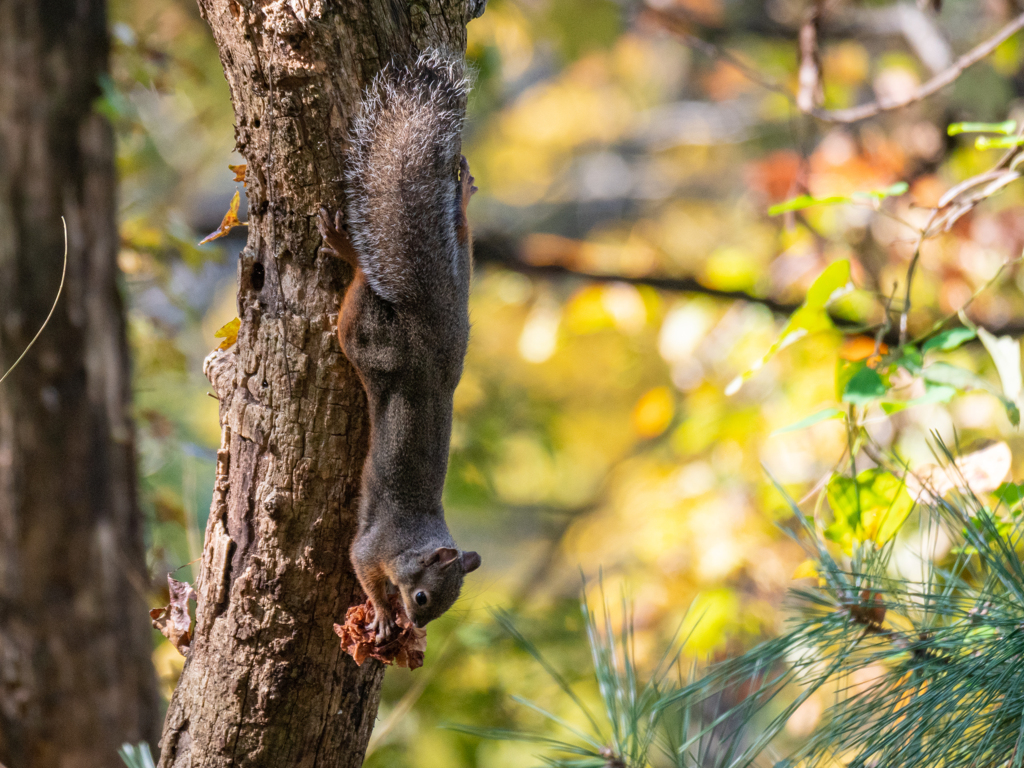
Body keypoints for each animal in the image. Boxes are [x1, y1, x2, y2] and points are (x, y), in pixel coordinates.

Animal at [317, 51, 481, 643]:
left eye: (441, 607)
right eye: (423, 596)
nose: (415, 620)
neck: (412, 542)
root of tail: (432, 338)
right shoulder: (373, 546)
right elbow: (360, 565)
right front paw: (383, 614)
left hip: (460, 284)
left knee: (461, 238)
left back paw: (462, 197)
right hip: (372, 343)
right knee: (362, 284)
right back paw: (347, 246)